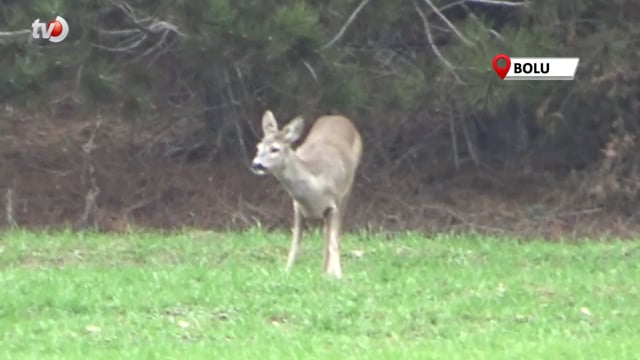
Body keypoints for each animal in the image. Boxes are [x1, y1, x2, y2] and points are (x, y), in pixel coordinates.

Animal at [250, 109, 362, 278]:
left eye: (275, 149)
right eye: (258, 147)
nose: (256, 164)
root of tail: (338, 117)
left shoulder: (333, 204)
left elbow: (333, 242)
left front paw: (338, 275)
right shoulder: (297, 207)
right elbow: (295, 244)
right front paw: (287, 271)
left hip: (347, 190)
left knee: (333, 234)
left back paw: (328, 271)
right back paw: (324, 270)